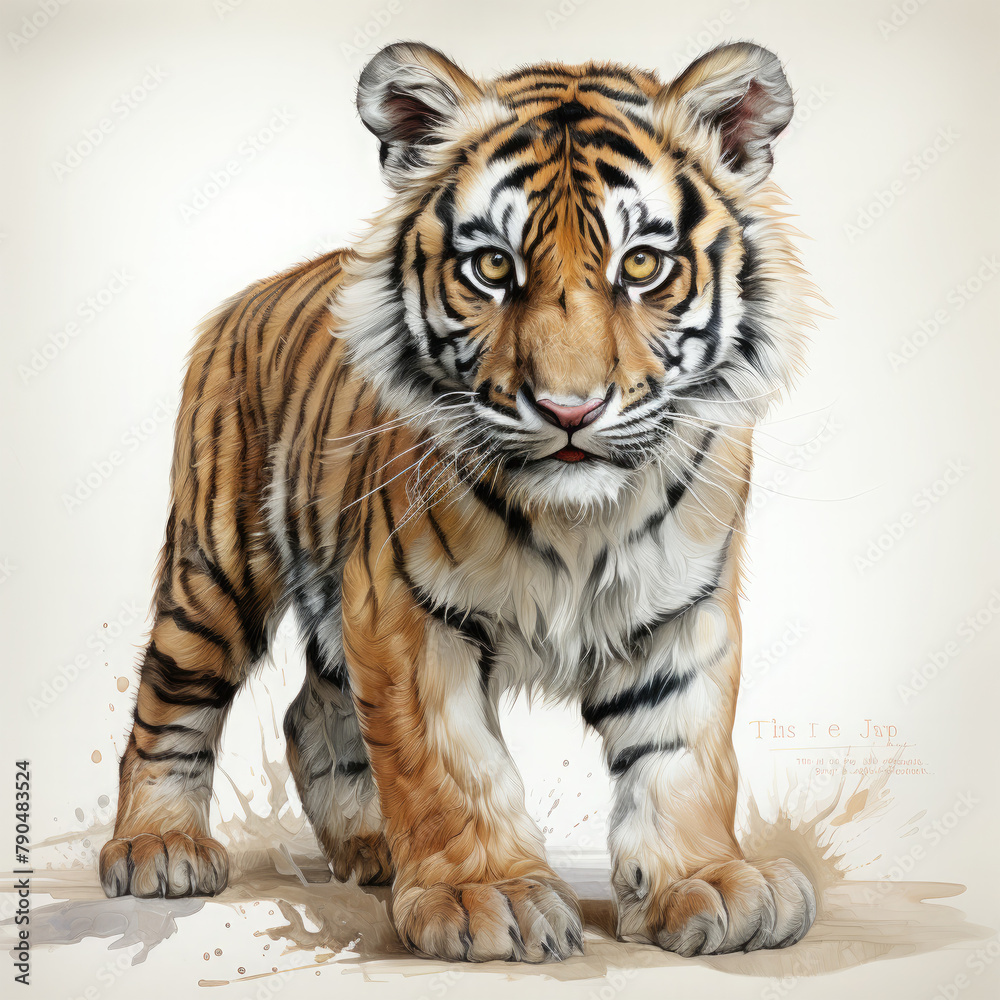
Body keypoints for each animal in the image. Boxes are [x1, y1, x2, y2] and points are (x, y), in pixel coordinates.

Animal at [99, 40, 819, 962]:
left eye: (642, 265)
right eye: (492, 267)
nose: (569, 410)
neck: (581, 518)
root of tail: (252, 293)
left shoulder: (680, 607)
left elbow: (682, 752)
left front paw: (707, 881)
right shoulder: (404, 608)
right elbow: (449, 764)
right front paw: (489, 897)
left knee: (308, 713)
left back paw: (370, 846)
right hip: (216, 571)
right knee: (172, 699)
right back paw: (159, 848)